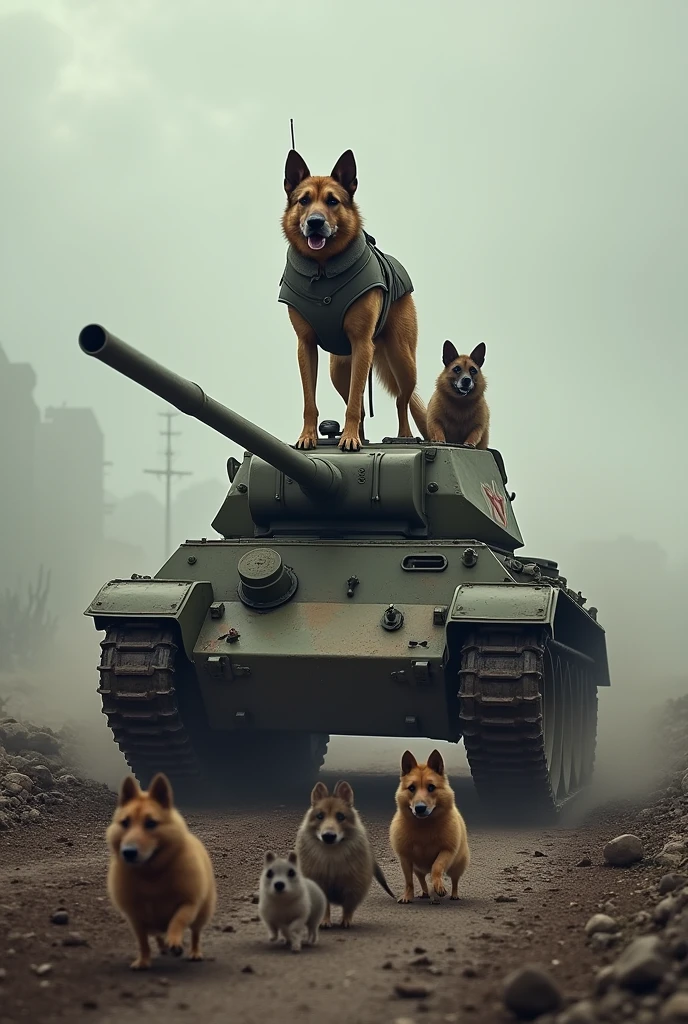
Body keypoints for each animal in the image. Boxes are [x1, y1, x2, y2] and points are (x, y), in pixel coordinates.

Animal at [278, 146, 427, 450]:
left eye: (332, 201)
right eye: (304, 200)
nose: (315, 223)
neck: (323, 269)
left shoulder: (361, 343)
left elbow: (356, 403)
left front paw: (347, 438)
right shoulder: (305, 346)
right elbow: (310, 400)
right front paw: (308, 436)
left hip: (402, 359)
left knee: (400, 400)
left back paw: (402, 436)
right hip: (338, 369)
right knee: (355, 400)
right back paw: (359, 435)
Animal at [389, 753, 470, 905]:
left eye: (431, 787)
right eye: (411, 788)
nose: (420, 808)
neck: (424, 826)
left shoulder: (446, 851)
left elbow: (436, 867)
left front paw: (439, 887)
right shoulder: (406, 859)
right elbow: (409, 881)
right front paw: (407, 896)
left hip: (457, 866)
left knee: (453, 880)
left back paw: (451, 894)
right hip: (418, 869)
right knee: (422, 880)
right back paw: (426, 893)